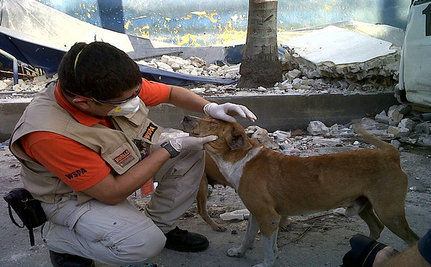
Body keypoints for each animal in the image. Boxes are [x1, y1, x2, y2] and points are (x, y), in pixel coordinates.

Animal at [182, 116, 418, 266]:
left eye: (213, 123)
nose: (185, 117)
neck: (242, 158)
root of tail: (390, 154)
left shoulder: (268, 217)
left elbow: (268, 247)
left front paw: (266, 263)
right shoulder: (257, 214)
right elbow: (249, 237)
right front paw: (240, 252)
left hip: (390, 213)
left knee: (412, 240)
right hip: (365, 207)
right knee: (376, 227)